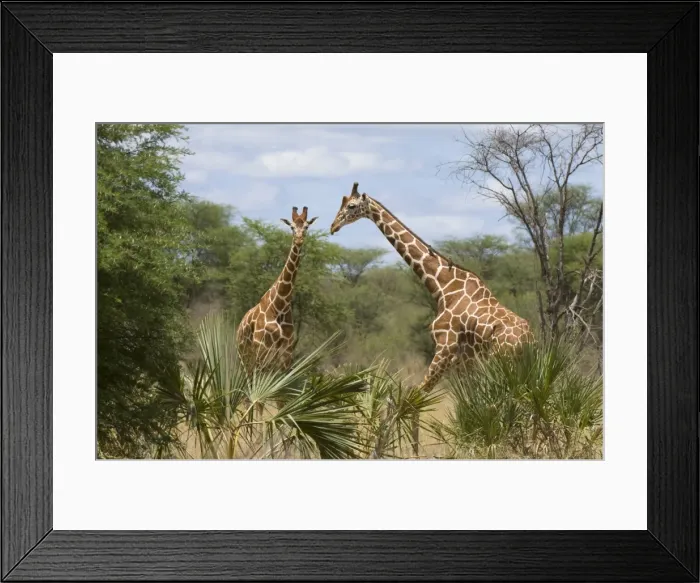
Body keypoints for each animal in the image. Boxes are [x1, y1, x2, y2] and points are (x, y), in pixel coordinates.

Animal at [236, 206, 317, 374]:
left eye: (306, 226)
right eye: (291, 227)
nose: (298, 240)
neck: (280, 306)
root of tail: (239, 327)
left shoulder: (286, 356)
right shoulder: (263, 350)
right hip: (244, 357)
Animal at [330, 182, 534, 454]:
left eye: (351, 206)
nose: (333, 226)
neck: (442, 287)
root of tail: (530, 339)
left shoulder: (444, 350)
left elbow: (413, 399)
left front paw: (402, 451)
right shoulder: (463, 362)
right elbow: (468, 405)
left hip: (504, 364)